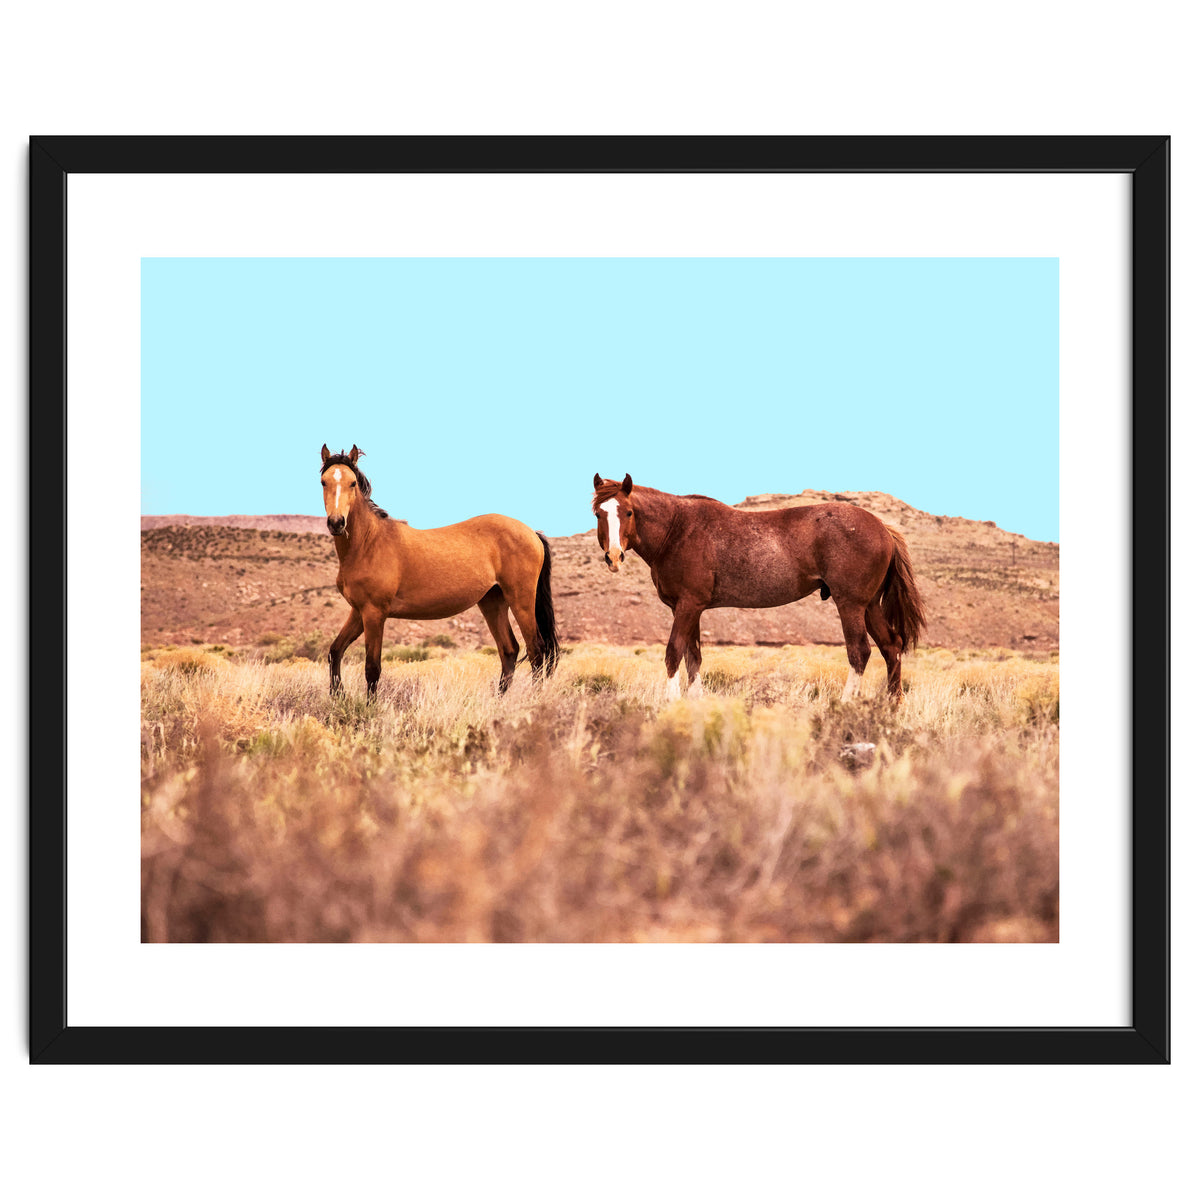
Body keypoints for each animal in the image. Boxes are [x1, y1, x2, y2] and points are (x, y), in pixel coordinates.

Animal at [319, 444, 559, 697]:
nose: (336, 523)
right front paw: (338, 695)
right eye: (324, 482)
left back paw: (533, 699)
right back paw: (499, 700)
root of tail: (532, 532)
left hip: (521, 600)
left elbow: (372, 668)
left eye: (352, 483)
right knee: (509, 650)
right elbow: (335, 651)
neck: (369, 543)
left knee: (536, 651)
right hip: (492, 602)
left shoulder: (374, 613)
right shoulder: (358, 611)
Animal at [591, 473, 927, 701]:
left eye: (628, 512)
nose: (614, 556)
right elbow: (693, 657)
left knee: (860, 652)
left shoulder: (687, 606)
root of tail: (882, 528)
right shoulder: (690, 609)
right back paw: (892, 706)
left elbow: (674, 652)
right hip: (869, 606)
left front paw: (672, 702)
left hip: (851, 605)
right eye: (598, 513)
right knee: (891, 647)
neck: (678, 529)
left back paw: (846, 705)